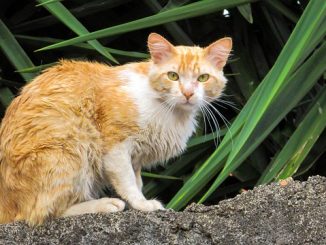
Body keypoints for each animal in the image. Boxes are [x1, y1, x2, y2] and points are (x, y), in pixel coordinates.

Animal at [0, 33, 232, 225]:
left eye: (203, 78)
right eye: (173, 76)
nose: (188, 93)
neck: (169, 110)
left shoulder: (136, 157)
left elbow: (137, 181)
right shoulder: (115, 148)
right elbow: (128, 182)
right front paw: (142, 204)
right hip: (70, 152)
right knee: (40, 214)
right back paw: (104, 204)